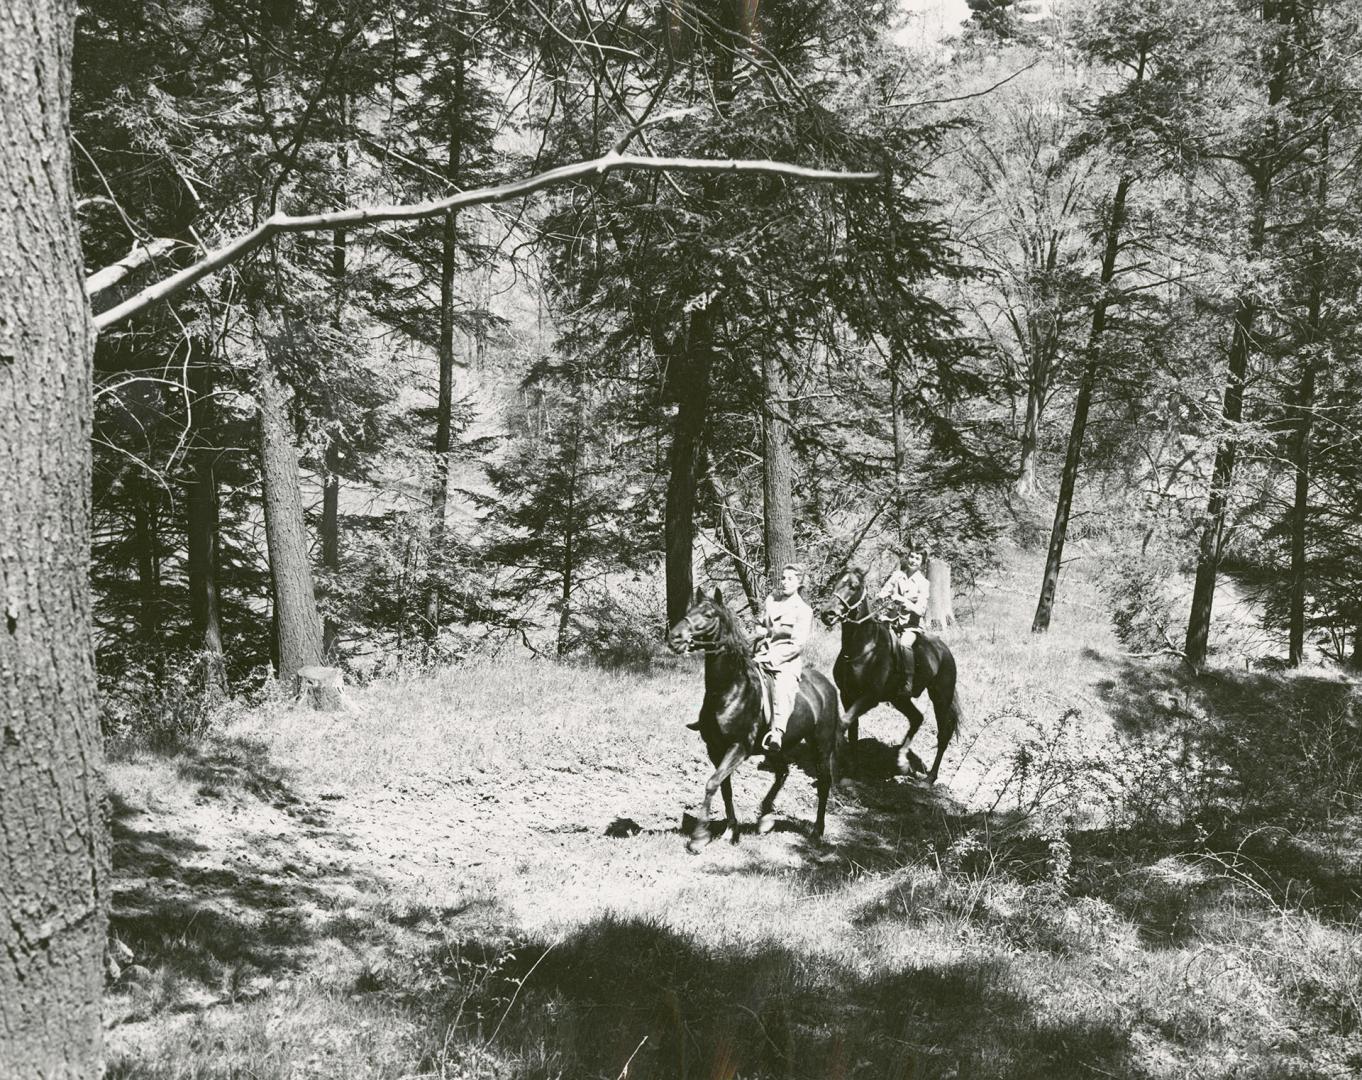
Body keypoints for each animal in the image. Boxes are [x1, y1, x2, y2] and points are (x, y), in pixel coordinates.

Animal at [661, 591, 833, 849]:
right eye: (690, 610)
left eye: (709, 615)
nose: (674, 637)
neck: (729, 689)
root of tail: (826, 685)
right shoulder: (715, 749)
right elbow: (724, 788)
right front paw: (731, 830)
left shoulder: (738, 747)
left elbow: (712, 783)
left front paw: (699, 836)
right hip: (776, 748)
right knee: (783, 772)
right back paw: (765, 818)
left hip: (821, 745)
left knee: (823, 783)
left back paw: (817, 831)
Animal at [811, 563, 964, 784]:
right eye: (837, 582)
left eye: (854, 586)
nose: (827, 613)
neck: (863, 648)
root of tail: (944, 650)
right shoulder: (847, 695)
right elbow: (852, 729)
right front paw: (850, 769)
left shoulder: (870, 697)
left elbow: (843, 723)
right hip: (900, 698)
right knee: (917, 718)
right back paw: (901, 761)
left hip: (941, 697)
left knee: (943, 734)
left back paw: (929, 778)